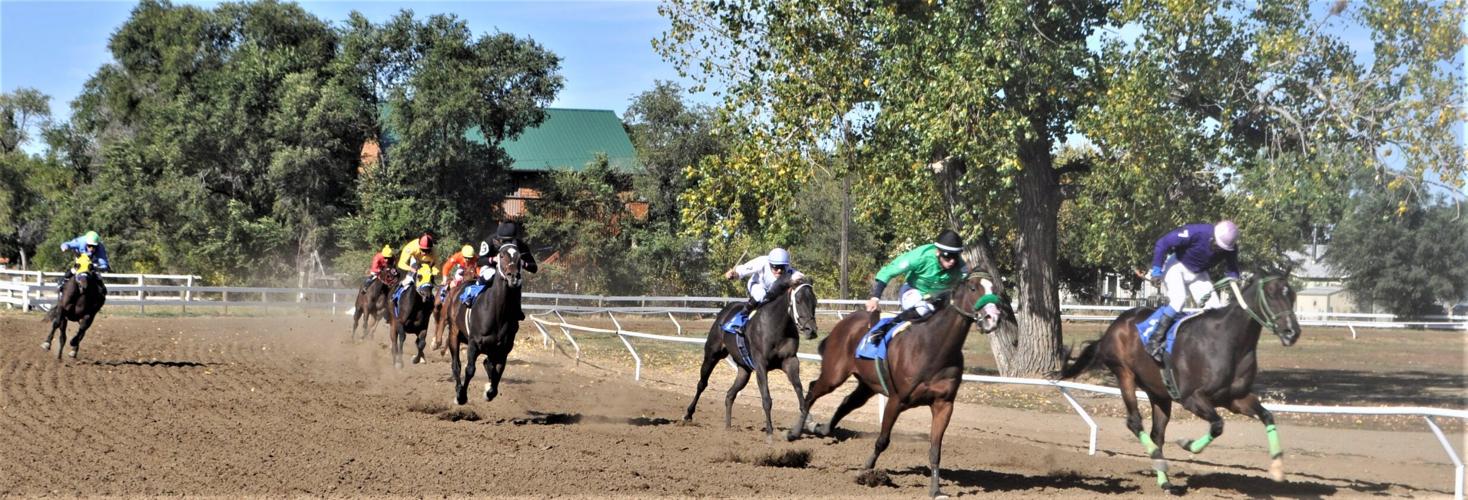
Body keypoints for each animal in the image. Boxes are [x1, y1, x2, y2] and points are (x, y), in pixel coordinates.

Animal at [449, 241, 525, 404]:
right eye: (501, 255)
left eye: (520, 257)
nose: (514, 277)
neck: (497, 313)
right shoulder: (474, 343)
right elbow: (470, 369)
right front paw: (462, 395)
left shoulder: (503, 349)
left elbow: (498, 370)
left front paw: (489, 392)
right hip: (453, 333)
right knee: (456, 364)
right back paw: (458, 390)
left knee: (488, 364)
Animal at [681, 274, 822, 442]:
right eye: (798, 300)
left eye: (815, 301)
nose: (811, 330)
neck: (776, 326)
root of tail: (726, 311)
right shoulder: (761, 364)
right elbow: (766, 399)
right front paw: (769, 432)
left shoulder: (790, 361)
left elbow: (800, 393)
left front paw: (805, 425)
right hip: (712, 354)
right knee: (702, 384)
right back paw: (688, 414)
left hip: (744, 370)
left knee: (730, 394)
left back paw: (728, 427)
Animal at [792, 272, 1009, 498]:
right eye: (974, 289)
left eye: (996, 289)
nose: (992, 318)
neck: (934, 348)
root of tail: (845, 323)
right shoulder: (896, 400)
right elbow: (883, 440)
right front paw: (866, 470)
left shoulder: (944, 404)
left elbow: (935, 449)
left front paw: (935, 490)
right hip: (834, 374)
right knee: (812, 390)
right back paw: (795, 431)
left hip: (867, 384)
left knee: (847, 402)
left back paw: (823, 428)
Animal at [1056, 272, 1309, 489]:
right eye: (1271, 294)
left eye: (1292, 295)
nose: (1292, 332)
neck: (1229, 341)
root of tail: (1115, 325)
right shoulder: (1191, 398)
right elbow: (1218, 425)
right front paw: (1188, 444)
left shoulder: (1234, 399)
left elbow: (1266, 416)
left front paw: (1277, 468)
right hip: (1124, 374)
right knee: (1135, 422)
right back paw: (1159, 461)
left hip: (1159, 392)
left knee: (1157, 433)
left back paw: (1164, 481)